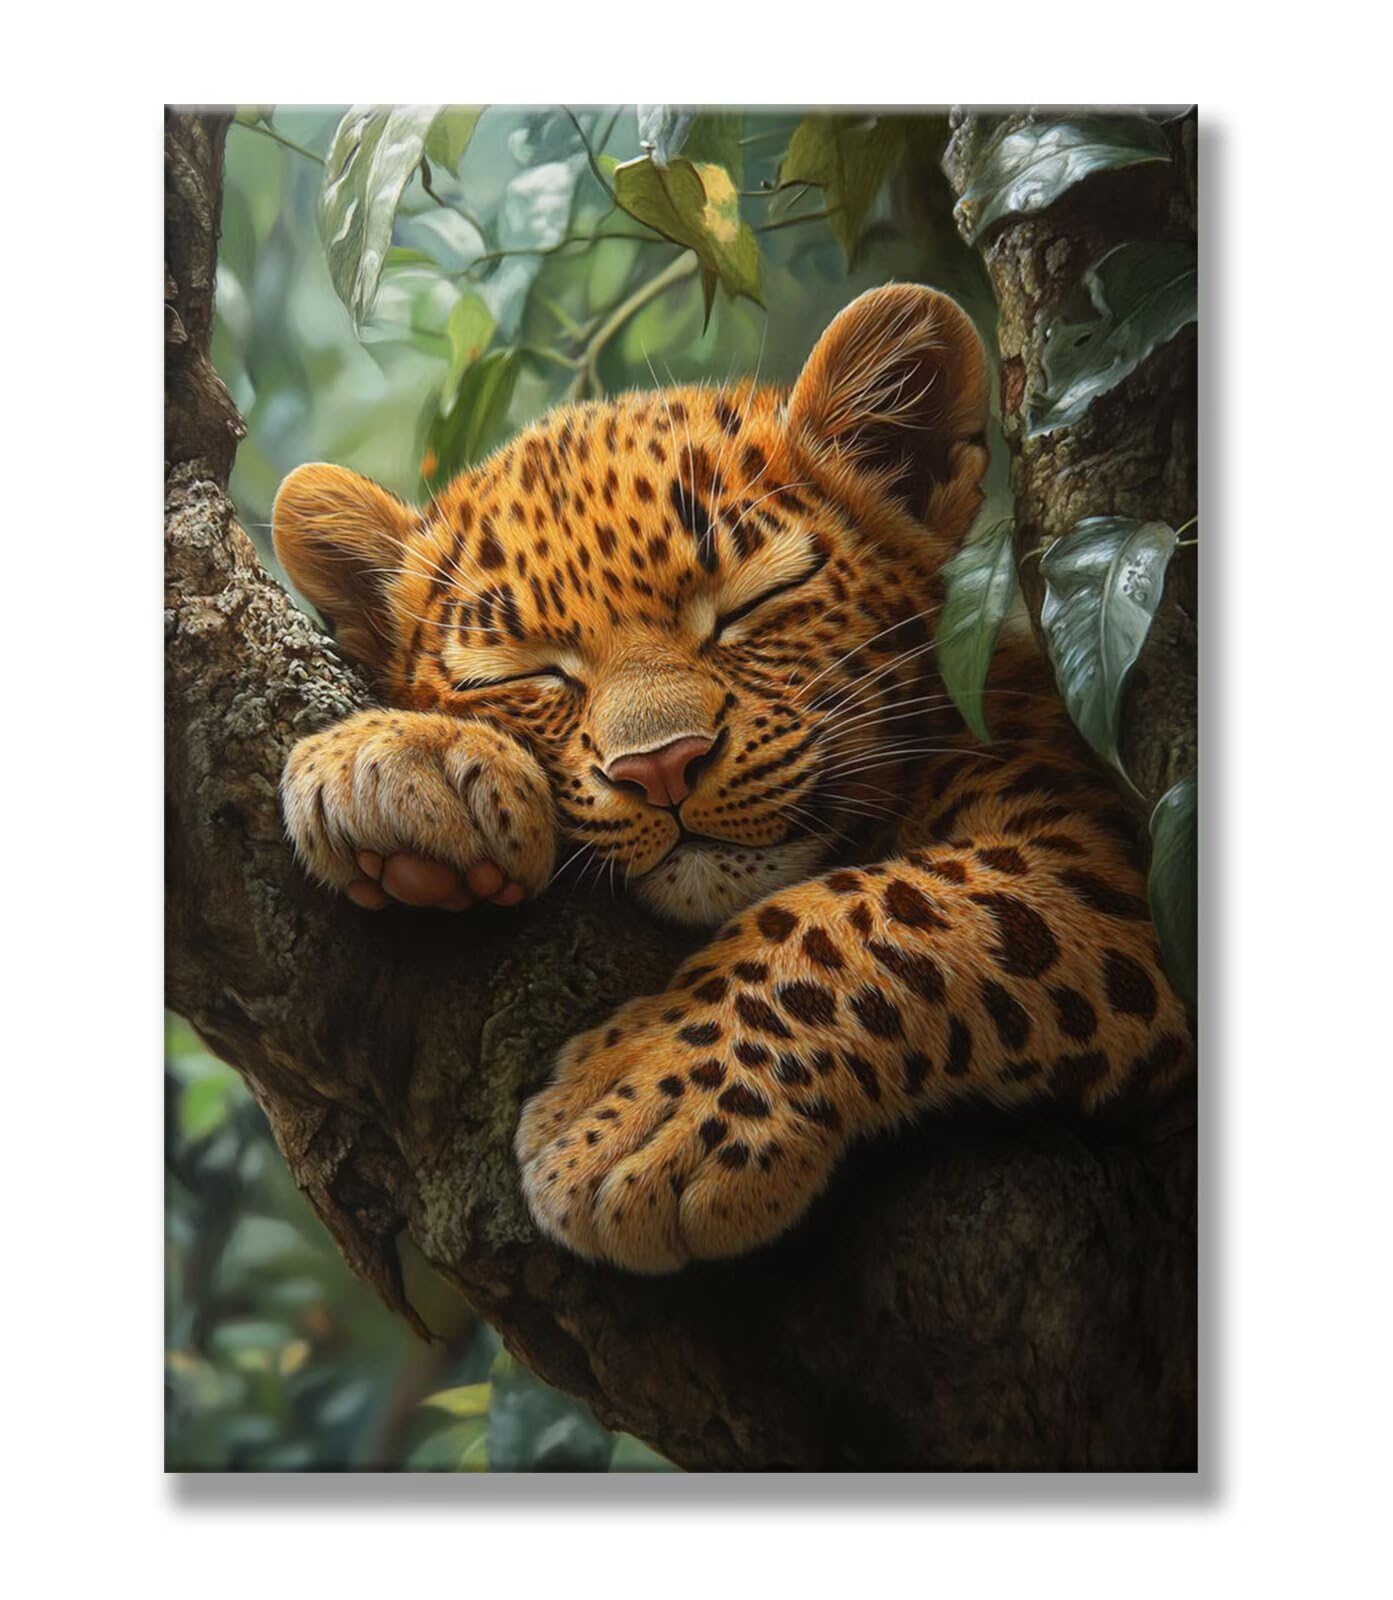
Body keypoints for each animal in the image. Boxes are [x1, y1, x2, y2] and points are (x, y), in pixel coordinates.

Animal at [273, 283, 1194, 1275]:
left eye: (750, 605)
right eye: (525, 675)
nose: (660, 767)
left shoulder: (1111, 866)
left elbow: (876, 909)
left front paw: (644, 1112)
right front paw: (394, 762)